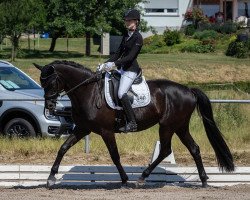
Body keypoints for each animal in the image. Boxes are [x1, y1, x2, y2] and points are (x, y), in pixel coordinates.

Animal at [34, 60, 234, 188]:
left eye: (51, 82)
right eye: (42, 83)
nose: (50, 106)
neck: (88, 92)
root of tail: (188, 90)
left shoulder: (106, 131)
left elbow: (115, 156)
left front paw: (124, 180)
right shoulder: (83, 129)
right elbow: (63, 148)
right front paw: (51, 177)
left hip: (168, 126)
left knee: (166, 150)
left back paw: (142, 178)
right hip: (179, 126)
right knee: (193, 149)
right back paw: (204, 180)